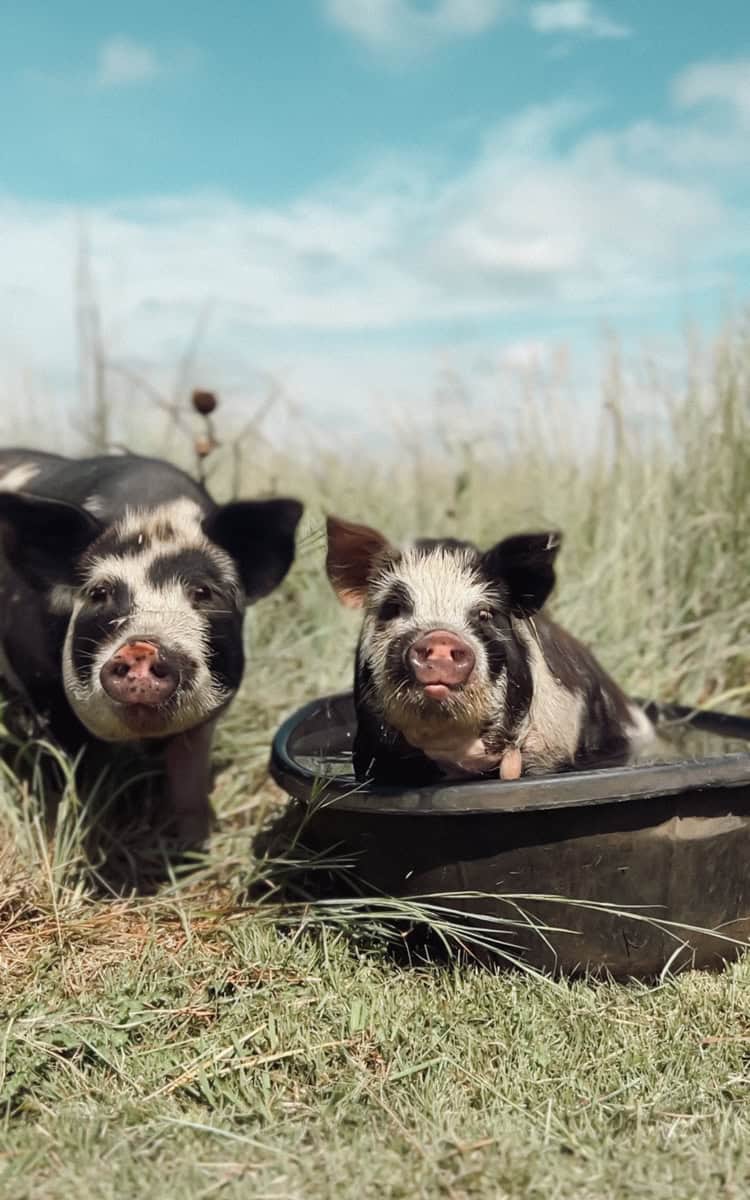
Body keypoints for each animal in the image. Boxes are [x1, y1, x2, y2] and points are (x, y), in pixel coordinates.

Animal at [0, 449, 303, 844]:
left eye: (203, 591)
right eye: (99, 593)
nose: (141, 647)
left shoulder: (204, 720)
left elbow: (189, 781)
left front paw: (194, 846)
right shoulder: (41, 685)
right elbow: (66, 770)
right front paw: (67, 832)